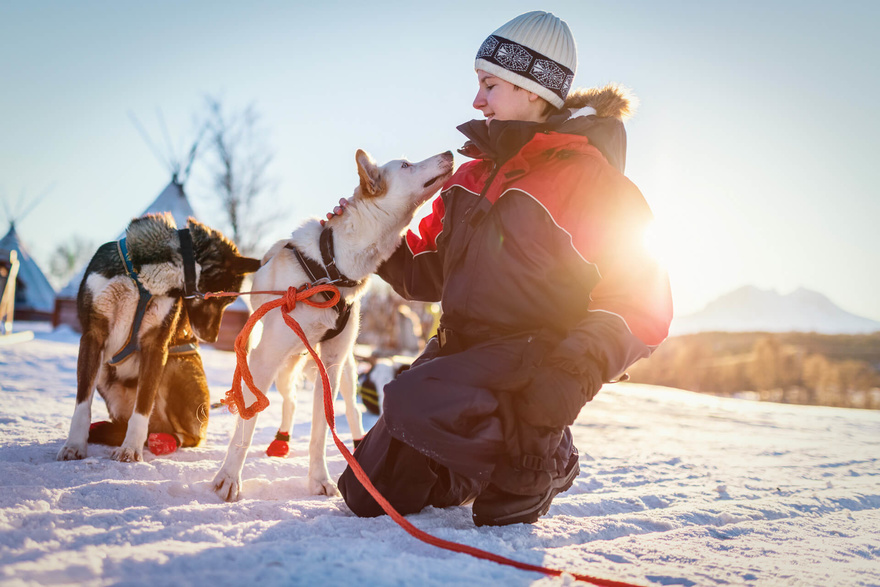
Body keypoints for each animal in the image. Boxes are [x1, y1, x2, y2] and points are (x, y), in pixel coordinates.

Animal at [56, 215, 258, 464]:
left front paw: (130, 449)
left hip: (173, 365)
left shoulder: (156, 345)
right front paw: (74, 445)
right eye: (223, 299)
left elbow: (143, 405)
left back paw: (163, 441)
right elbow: (83, 403)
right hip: (105, 371)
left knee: (190, 436)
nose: (213, 337)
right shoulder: (93, 336)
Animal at [213, 148, 454, 500]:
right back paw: (280, 441)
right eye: (406, 165)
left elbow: (321, 431)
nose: (449, 152)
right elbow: (248, 422)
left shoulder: (330, 363)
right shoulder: (263, 359)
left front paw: (319, 479)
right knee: (288, 400)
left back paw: (353, 447)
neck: (331, 267)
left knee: (350, 409)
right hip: (282, 366)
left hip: (346, 370)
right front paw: (229, 477)